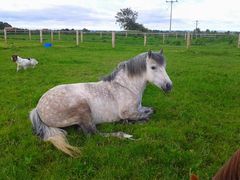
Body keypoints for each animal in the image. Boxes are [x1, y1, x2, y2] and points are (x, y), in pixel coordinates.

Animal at [29, 49, 172, 156]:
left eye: (165, 66)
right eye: (153, 67)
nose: (169, 86)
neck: (126, 87)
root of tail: (38, 108)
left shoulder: (138, 108)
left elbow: (151, 110)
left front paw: (131, 121)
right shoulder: (128, 113)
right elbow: (149, 114)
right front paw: (133, 122)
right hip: (83, 108)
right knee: (93, 133)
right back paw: (123, 134)